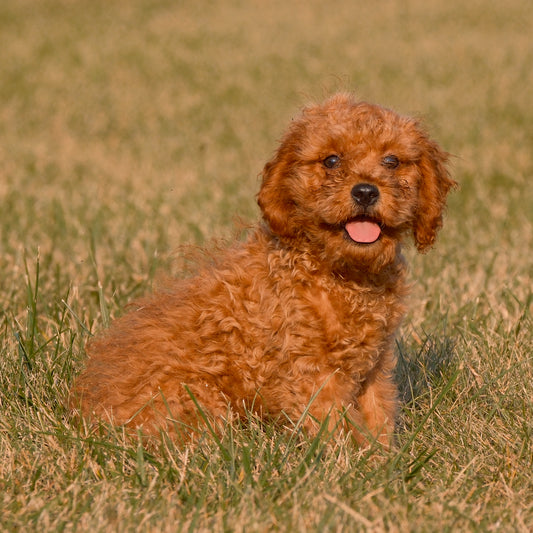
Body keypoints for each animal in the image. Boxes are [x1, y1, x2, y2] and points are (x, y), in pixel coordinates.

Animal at [72, 92, 456, 444]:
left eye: (392, 161)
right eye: (331, 160)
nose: (365, 192)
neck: (344, 273)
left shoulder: (375, 366)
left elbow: (379, 416)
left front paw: (383, 460)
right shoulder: (310, 372)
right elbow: (337, 427)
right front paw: (352, 464)